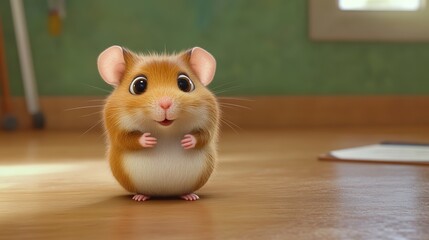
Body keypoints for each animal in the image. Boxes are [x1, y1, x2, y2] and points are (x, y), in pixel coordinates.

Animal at [96, 46, 217, 202]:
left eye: (185, 83)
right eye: (139, 85)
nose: (165, 104)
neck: (164, 129)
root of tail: (163, 194)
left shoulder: (210, 121)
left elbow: (204, 135)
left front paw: (186, 141)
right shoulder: (115, 126)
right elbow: (125, 138)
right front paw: (149, 140)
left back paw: (190, 196)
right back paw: (140, 197)